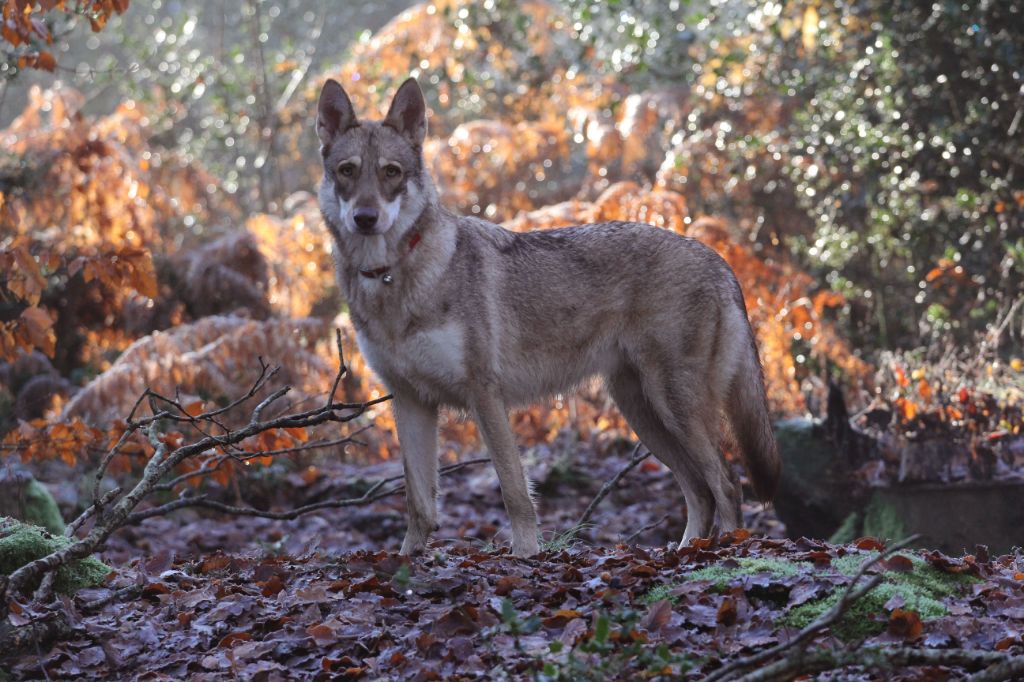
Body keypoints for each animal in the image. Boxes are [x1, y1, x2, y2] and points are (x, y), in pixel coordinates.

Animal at [316, 77, 780, 557]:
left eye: (391, 172)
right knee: (699, 489)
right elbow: (419, 503)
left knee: (727, 483)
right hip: (643, 413)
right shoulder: (411, 402)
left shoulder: (485, 395)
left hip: (674, 405)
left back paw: (726, 551)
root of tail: (719, 260)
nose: (365, 218)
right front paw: (409, 560)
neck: (391, 277)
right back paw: (687, 550)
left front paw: (525, 556)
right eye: (348, 171)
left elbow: (514, 491)